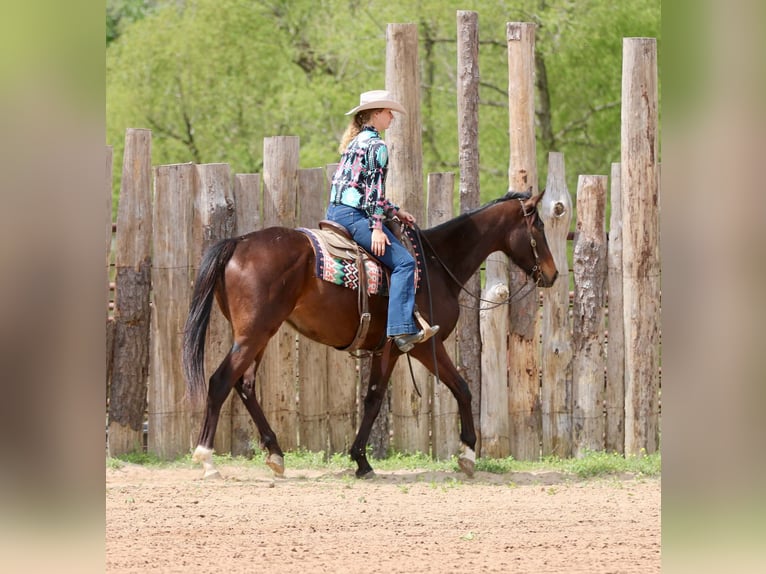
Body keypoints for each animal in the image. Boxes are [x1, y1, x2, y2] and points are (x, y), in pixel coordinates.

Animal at [182, 189, 558, 479]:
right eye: (538, 226)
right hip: (254, 334)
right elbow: (461, 389)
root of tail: (238, 242)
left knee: (245, 386)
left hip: (258, 334)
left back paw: (275, 453)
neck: (435, 264)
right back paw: (207, 460)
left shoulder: (385, 349)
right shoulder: (422, 345)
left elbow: (373, 399)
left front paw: (361, 461)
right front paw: (467, 454)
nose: (552, 274)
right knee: (220, 382)